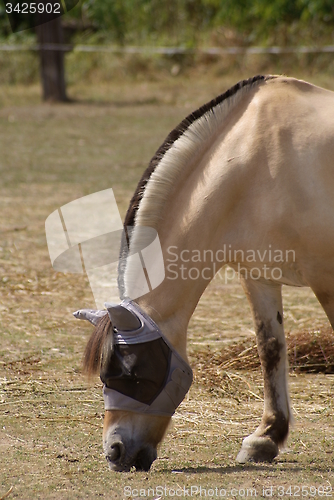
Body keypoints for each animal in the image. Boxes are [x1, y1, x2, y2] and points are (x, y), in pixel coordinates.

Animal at [74, 76, 334, 470]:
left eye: (133, 374)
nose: (114, 452)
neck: (258, 161)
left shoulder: (325, 277)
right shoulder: (258, 275)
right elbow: (270, 347)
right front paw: (265, 438)